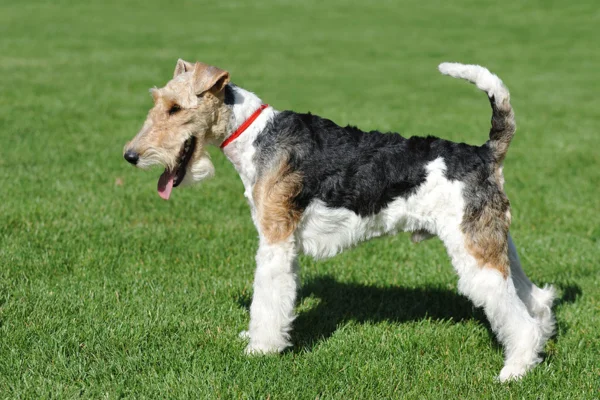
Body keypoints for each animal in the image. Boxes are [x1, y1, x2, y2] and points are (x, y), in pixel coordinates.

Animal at [123, 59, 556, 382]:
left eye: (175, 108)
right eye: (158, 101)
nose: (130, 155)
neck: (253, 135)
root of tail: (486, 153)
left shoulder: (275, 238)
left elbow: (268, 298)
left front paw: (260, 349)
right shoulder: (285, 240)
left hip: (475, 250)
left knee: (517, 316)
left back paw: (513, 371)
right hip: (495, 242)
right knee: (534, 299)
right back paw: (536, 349)